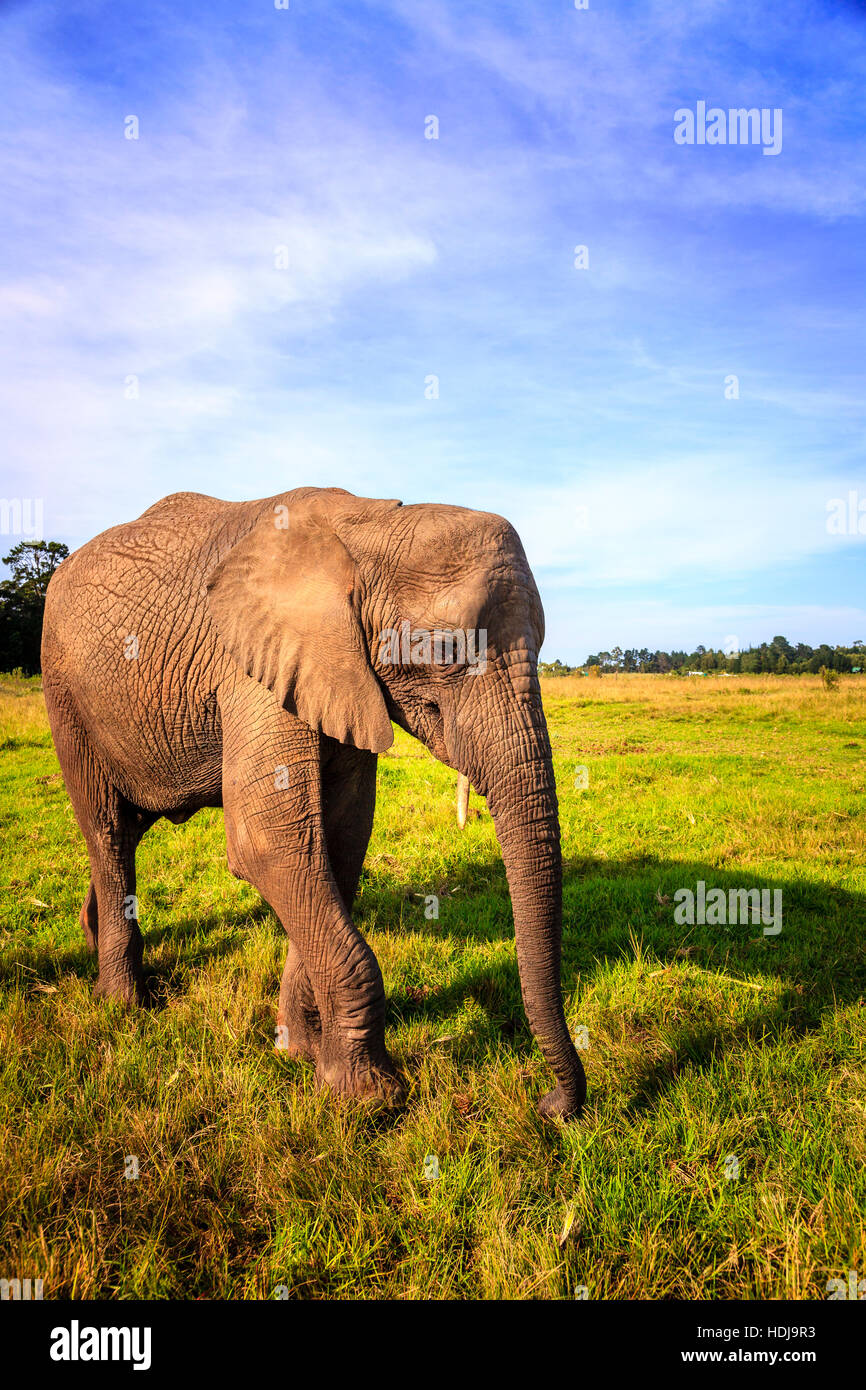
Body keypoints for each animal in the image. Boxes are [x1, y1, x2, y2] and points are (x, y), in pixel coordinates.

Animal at [37, 486, 586, 1117]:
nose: (550, 1104)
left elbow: (339, 842)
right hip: (63, 688)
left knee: (130, 826)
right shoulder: (251, 668)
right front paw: (369, 1098)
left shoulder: (340, 674)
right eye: (447, 649)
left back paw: (93, 941)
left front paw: (300, 1054)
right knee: (106, 827)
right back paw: (122, 1004)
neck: (371, 524)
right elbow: (269, 845)